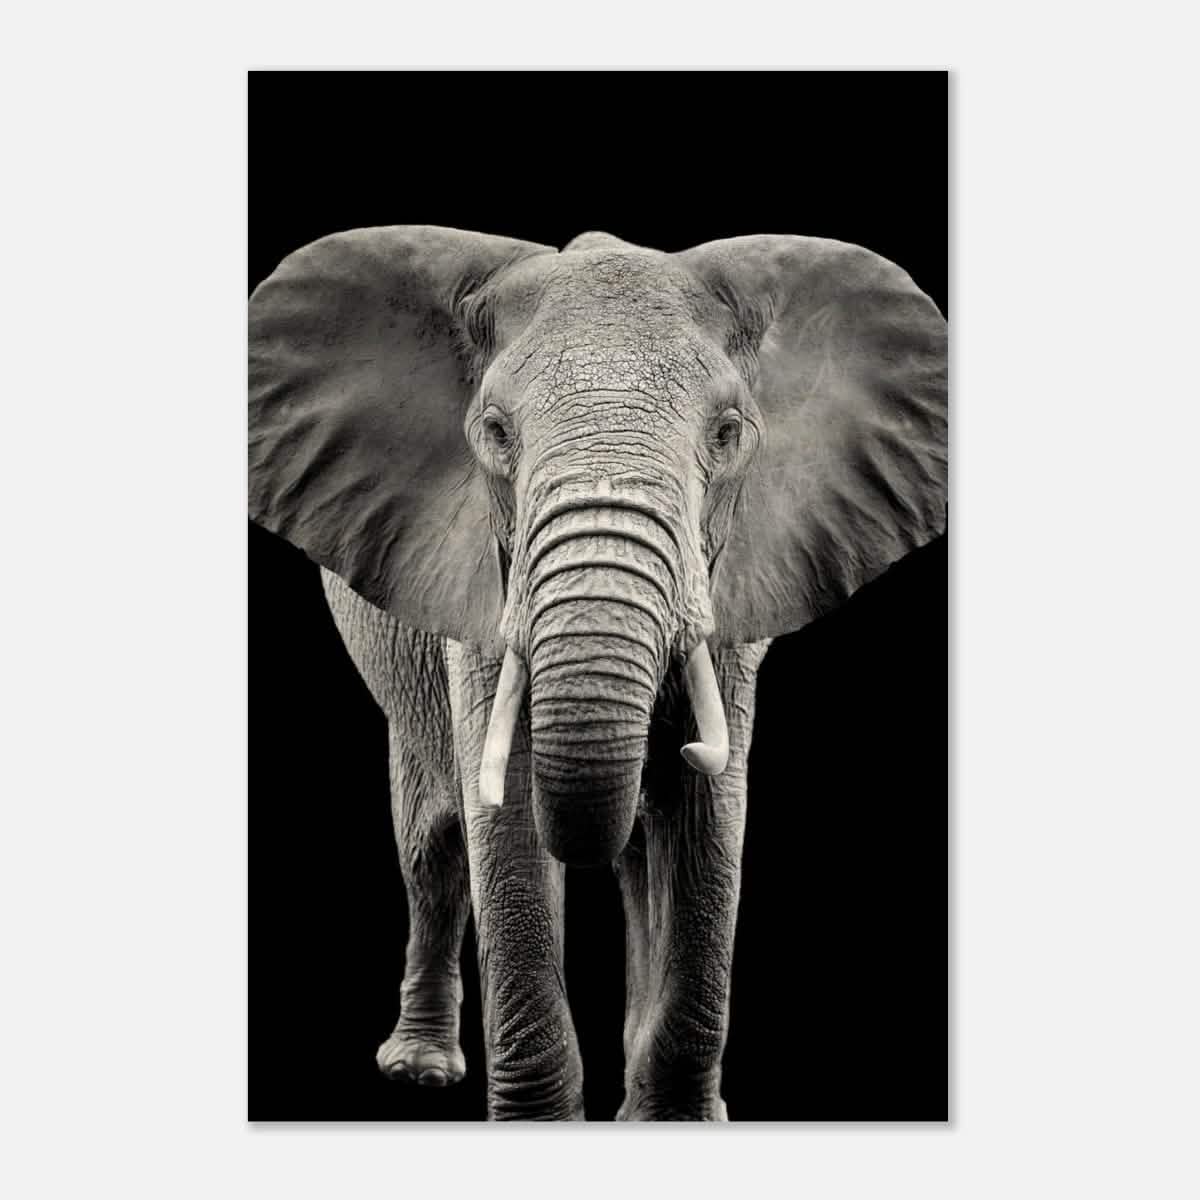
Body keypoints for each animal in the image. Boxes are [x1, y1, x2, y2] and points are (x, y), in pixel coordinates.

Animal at [248, 226, 947, 1121]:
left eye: (728, 433)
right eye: (495, 431)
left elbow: (706, 823)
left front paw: (677, 1120)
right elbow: (506, 819)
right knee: (432, 846)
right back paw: (419, 1070)